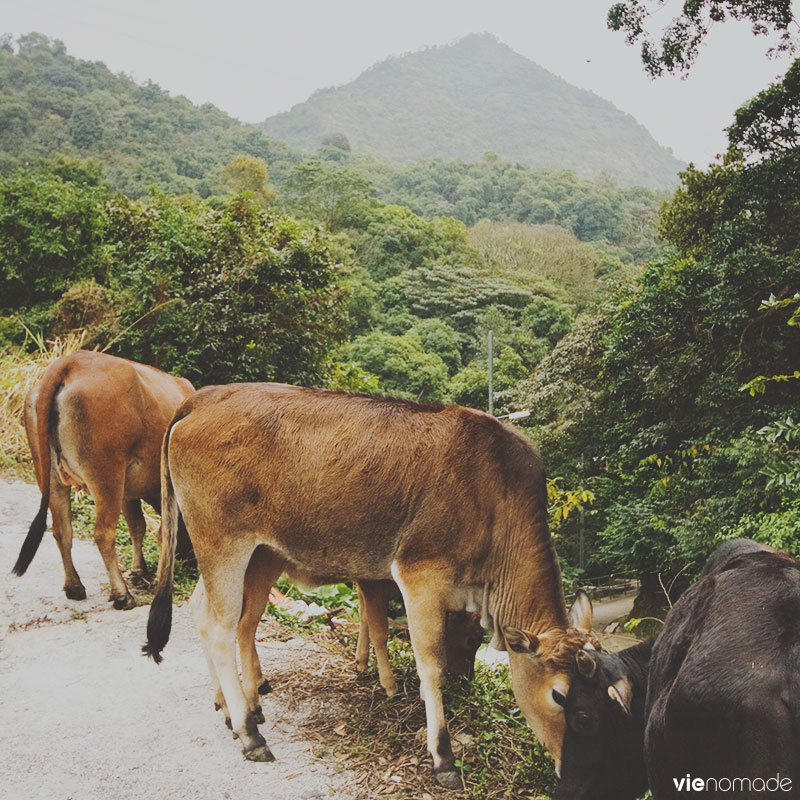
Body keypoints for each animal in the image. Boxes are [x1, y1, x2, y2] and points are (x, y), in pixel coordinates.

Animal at [12, 350, 195, 608]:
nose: (188, 560)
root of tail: (70, 362)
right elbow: (162, 532)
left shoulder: (129, 490)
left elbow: (137, 526)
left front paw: (139, 571)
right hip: (107, 476)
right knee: (103, 534)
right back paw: (121, 595)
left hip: (49, 474)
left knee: (61, 531)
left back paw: (74, 586)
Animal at [144, 384, 596, 784]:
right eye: (558, 695)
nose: (575, 770)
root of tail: (201, 400)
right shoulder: (419, 573)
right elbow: (429, 661)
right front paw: (442, 756)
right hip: (223, 542)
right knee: (220, 625)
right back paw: (250, 734)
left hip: (253, 552)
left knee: (210, 611)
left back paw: (230, 707)